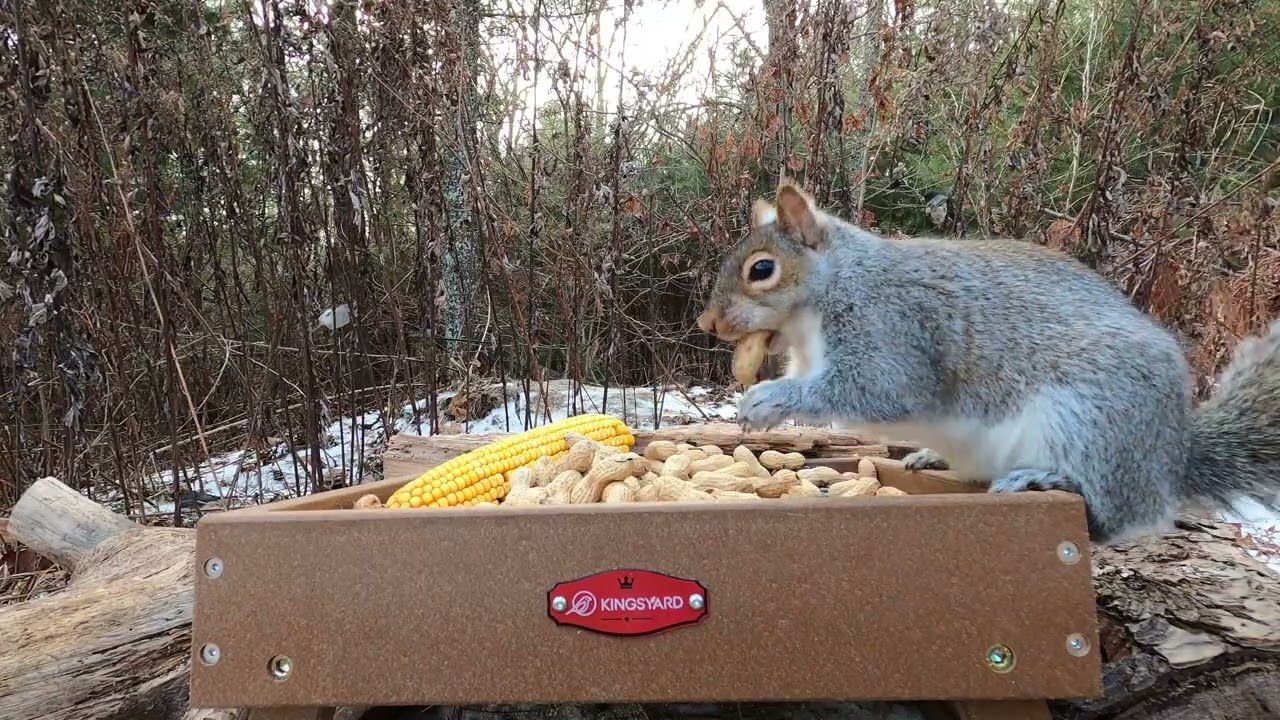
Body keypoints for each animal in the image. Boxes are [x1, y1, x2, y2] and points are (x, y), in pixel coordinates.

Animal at [695, 181, 1280, 543]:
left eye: (762, 269)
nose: (709, 324)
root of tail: (1172, 454)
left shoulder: (892, 329)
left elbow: (875, 390)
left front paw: (768, 401)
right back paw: (934, 457)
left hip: (1092, 420)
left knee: (1117, 515)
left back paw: (1046, 480)